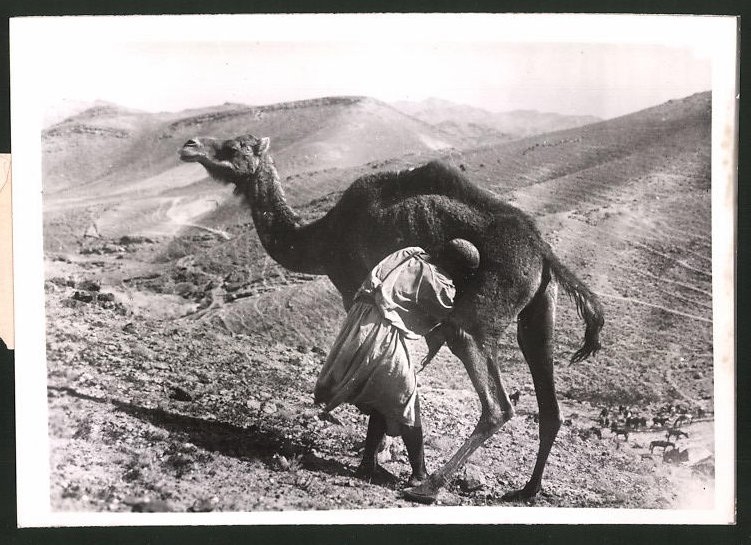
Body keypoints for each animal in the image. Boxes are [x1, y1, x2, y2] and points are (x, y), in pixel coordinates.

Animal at [181, 132, 604, 502]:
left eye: (233, 147)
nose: (189, 145)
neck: (323, 238)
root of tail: (543, 250)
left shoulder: (355, 286)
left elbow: (377, 366)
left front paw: (371, 462)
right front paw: (381, 454)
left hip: (475, 322)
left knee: (496, 405)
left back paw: (429, 487)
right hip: (538, 312)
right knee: (548, 401)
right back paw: (527, 490)